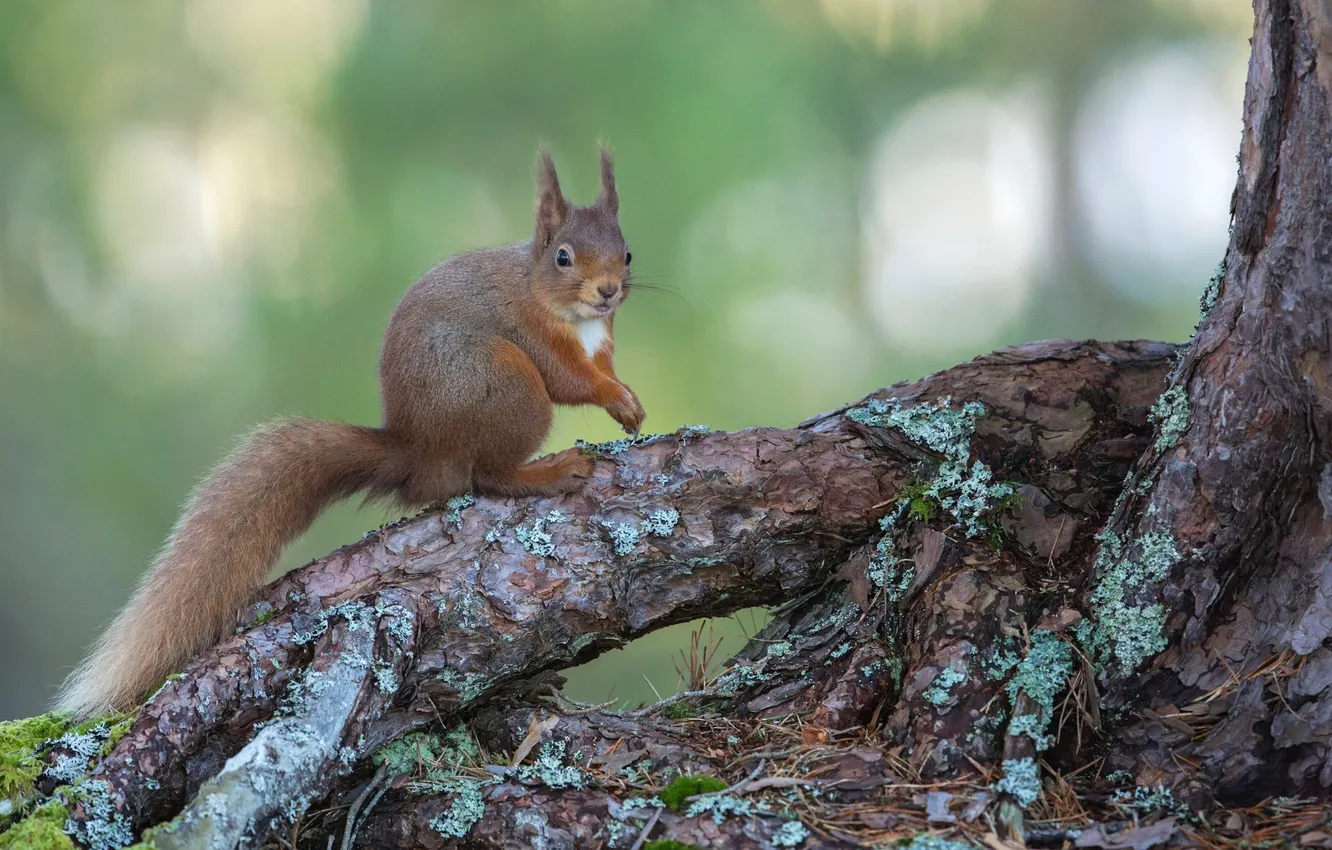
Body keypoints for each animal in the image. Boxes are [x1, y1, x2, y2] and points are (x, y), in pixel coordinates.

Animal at [58, 146, 644, 719]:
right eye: (563, 257)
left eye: (628, 253)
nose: (608, 291)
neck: (562, 306)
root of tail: (420, 453)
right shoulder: (532, 332)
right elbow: (570, 380)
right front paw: (613, 397)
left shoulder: (603, 341)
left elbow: (604, 370)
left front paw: (628, 401)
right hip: (510, 386)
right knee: (488, 475)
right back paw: (549, 471)